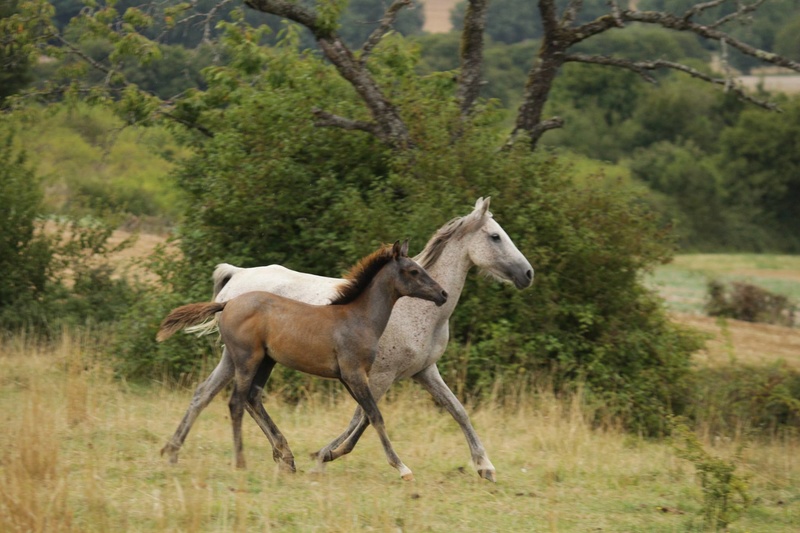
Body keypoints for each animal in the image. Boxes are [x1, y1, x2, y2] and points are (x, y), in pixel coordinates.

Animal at [178, 197, 536, 480]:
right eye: (495, 236)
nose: (528, 273)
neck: (413, 308)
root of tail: (236, 276)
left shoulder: (424, 371)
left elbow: (457, 410)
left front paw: (485, 466)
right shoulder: (378, 374)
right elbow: (363, 417)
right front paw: (325, 457)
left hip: (243, 358)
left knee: (209, 394)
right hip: (245, 357)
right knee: (230, 397)